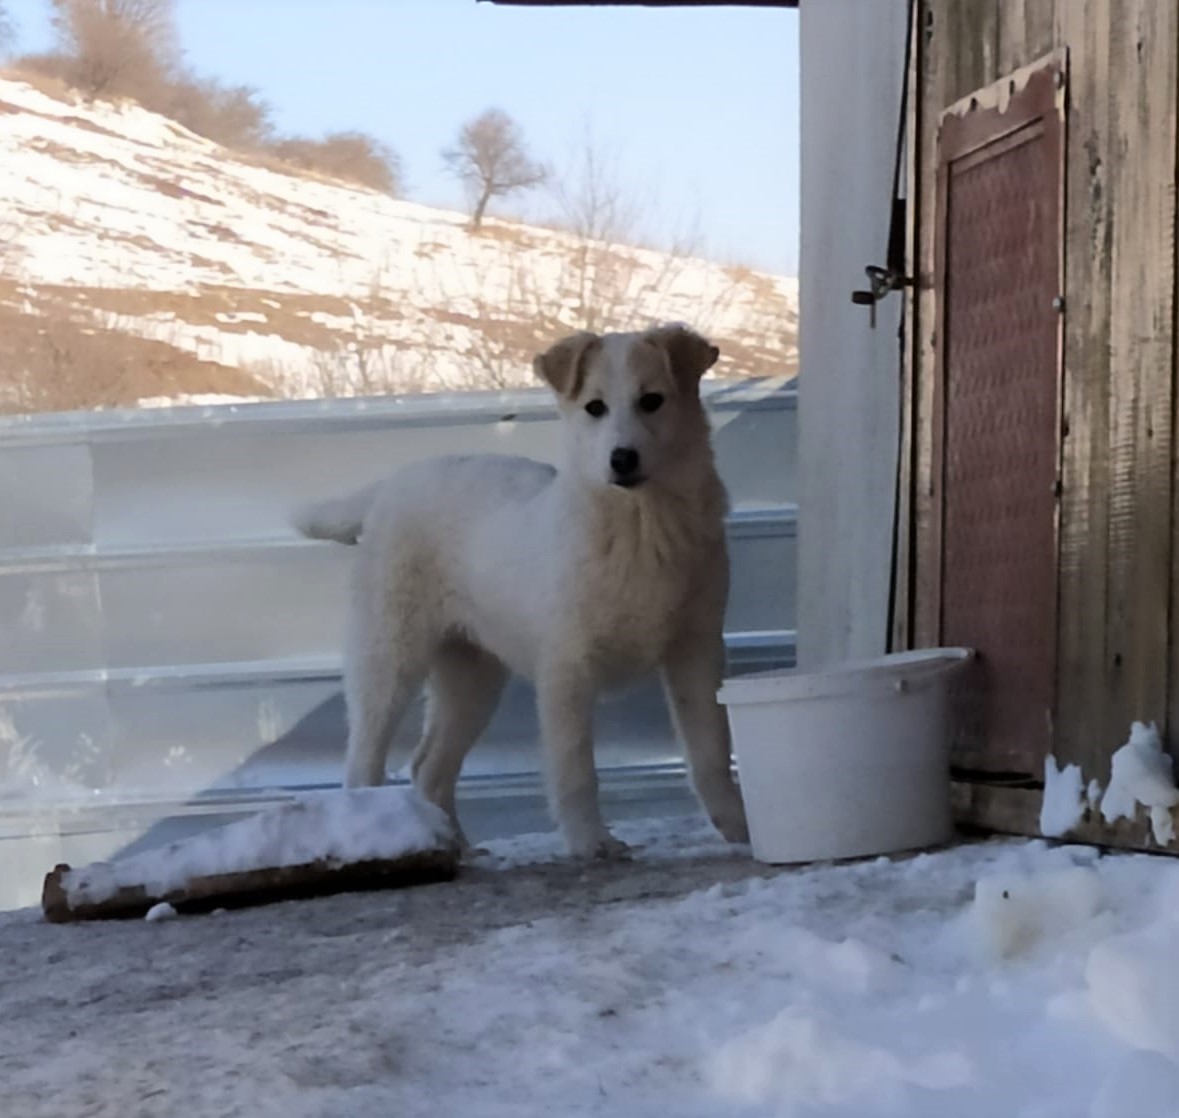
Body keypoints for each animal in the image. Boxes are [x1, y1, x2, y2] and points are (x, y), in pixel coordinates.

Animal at [293, 324, 749, 859]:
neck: (641, 526)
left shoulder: (696, 653)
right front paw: (591, 842)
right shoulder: (566, 671)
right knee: (363, 762)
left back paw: (458, 846)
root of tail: (388, 485)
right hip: (389, 658)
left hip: (472, 678)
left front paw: (742, 828)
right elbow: (576, 769)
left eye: (652, 401)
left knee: (429, 766)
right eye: (595, 407)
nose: (621, 459)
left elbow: (712, 751)